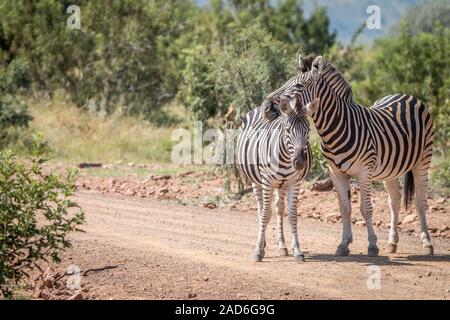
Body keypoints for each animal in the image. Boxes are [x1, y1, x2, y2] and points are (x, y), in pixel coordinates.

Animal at [234, 93, 318, 262]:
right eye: (288, 130)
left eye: (308, 129)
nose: (299, 162)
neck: (285, 158)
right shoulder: (267, 181)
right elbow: (266, 214)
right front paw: (258, 251)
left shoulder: (294, 183)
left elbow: (292, 214)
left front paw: (297, 250)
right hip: (256, 181)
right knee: (261, 209)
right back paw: (263, 243)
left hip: (282, 184)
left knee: (279, 209)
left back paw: (282, 245)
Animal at [262, 53, 434, 256]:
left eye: (299, 86)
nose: (266, 107)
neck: (338, 127)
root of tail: (406, 95)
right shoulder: (336, 173)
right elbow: (345, 208)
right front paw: (344, 244)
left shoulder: (364, 171)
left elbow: (366, 209)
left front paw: (372, 245)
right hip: (390, 169)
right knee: (395, 200)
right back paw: (392, 242)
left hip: (423, 160)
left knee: (420, 201)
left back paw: (427, 243)